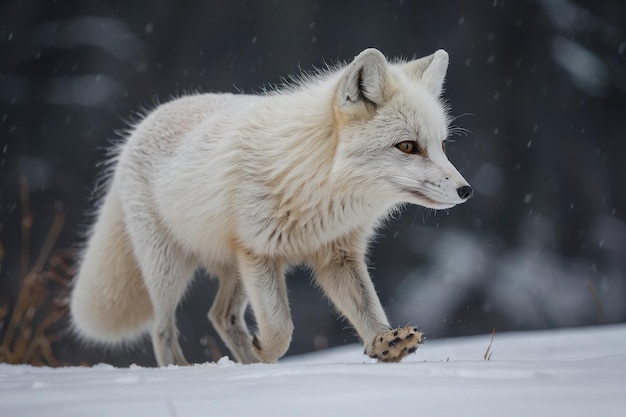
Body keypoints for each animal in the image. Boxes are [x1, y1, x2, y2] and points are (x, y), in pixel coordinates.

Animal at [69, 48, 468, 366]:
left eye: (442, 146)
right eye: (407, 146)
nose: (466, 191)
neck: (316, 187)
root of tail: (139, 125)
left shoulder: (337, 255)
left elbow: (369, 311)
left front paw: (385, 344)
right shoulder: (260, 253)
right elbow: (281, 328)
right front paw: (265, 351)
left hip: (234, 269)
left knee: (221, 316)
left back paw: (248, 364)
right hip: (170, 267)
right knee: (162, 328)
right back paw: (184, 370)